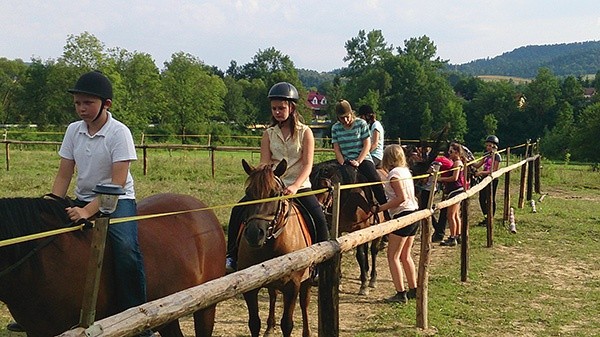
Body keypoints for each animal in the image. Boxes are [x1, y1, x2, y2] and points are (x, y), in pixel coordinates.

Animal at [236, 159, 312, 336]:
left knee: (304, 304)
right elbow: (254, 323)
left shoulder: (292, 286)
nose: (254, 234)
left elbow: (287, 324)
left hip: (307, 279)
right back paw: (270, 326)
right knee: (273, 295)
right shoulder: (249, 289)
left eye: (274, 193)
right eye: (249, 193)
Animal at [310, 160, 384, 294]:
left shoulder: (359, 228)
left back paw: (372, 278)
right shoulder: (338, 230)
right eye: (311, 185)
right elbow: (340, 255)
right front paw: (338, 282)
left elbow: (360, 256)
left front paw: (364, 285)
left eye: (325, 187)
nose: (317, 207)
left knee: (373, 251)